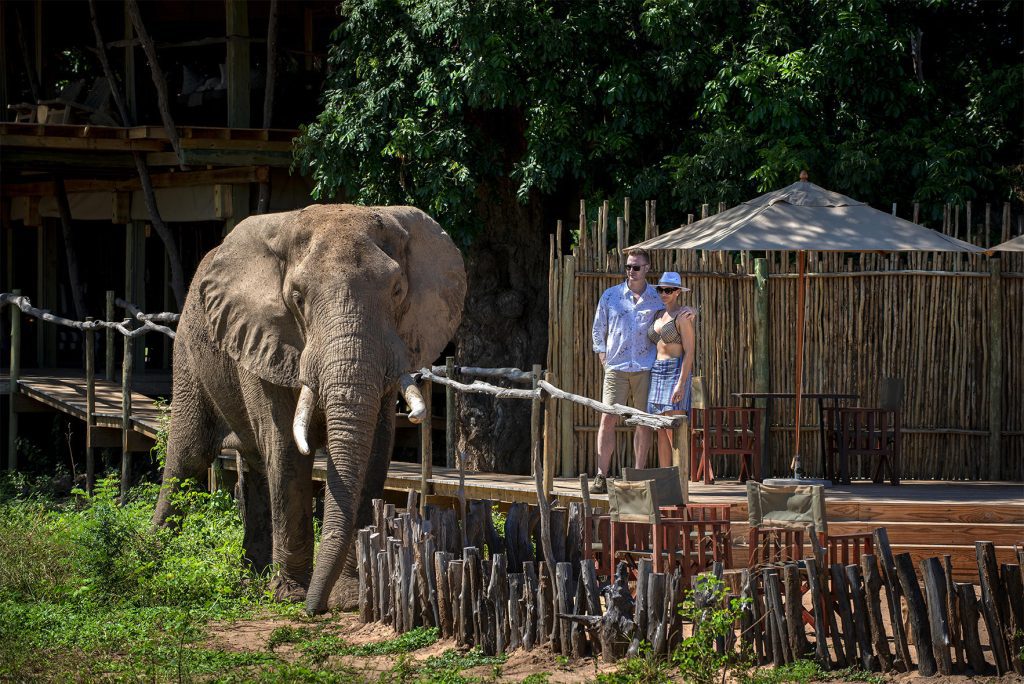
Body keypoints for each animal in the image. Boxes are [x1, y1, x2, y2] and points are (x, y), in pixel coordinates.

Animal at [152, 202, 468, 614]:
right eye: (298, 297)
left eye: (398, 290)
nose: (313, 611)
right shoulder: (264, 339)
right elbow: (287, 451)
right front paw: (292, 597)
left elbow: (373, 453)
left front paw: (348, 598)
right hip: (189, 349)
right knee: (187, 457)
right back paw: (149, 560)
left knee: (253, 465)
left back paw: (253, 576)